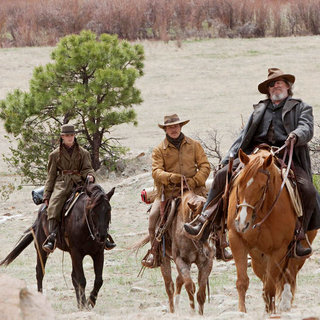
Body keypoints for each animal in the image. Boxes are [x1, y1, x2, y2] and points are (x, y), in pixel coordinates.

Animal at [226, 149, 316, 314]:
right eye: (239, 184)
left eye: (262, 187)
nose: (242, 223)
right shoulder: (236, 239)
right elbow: (242, 282)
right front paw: (241, 311)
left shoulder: (278, 250)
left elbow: (270, 286)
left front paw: (270, 312)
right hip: (258, 258)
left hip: (297, 254)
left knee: (289, 275)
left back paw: (285, 304)